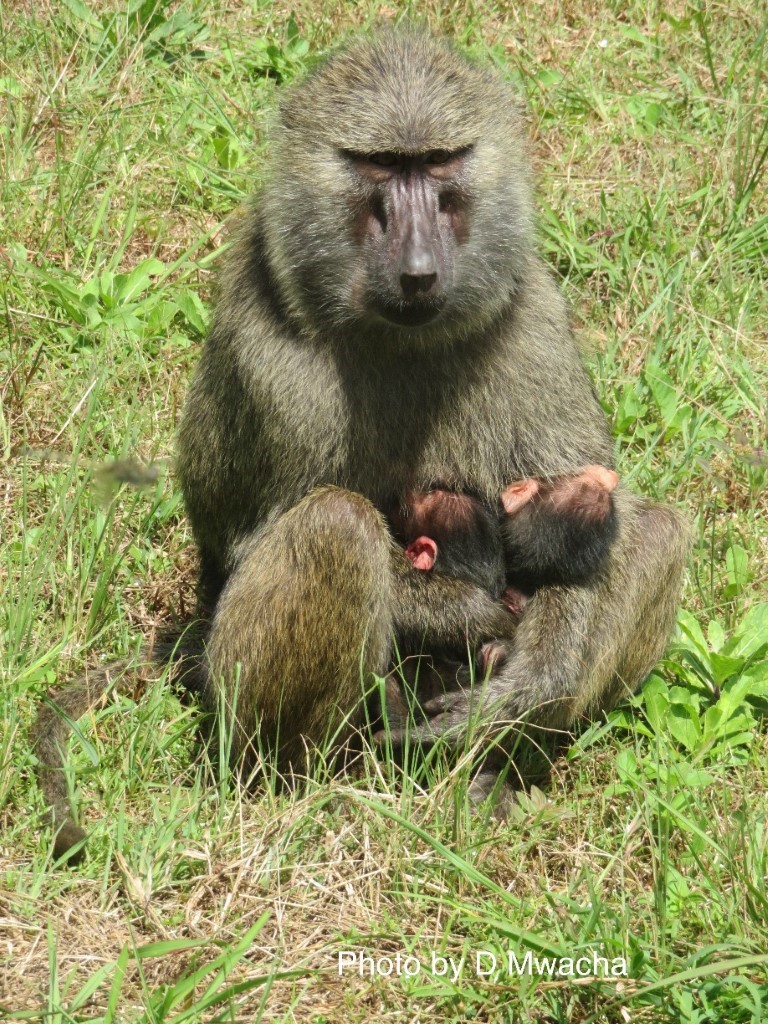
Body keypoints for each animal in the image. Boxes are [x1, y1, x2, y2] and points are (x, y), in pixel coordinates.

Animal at [34, 27, 689, 858]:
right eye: (379, 167)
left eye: (438, 163)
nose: (418, 270)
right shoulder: (272, 358)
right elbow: (256, 540)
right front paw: (466, 615)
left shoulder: (534, 313)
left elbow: (590, 520)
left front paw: (528, 681)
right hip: (237, 690)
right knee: (334, 524)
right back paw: (299, 789)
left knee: (657, 528)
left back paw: (501, 770)